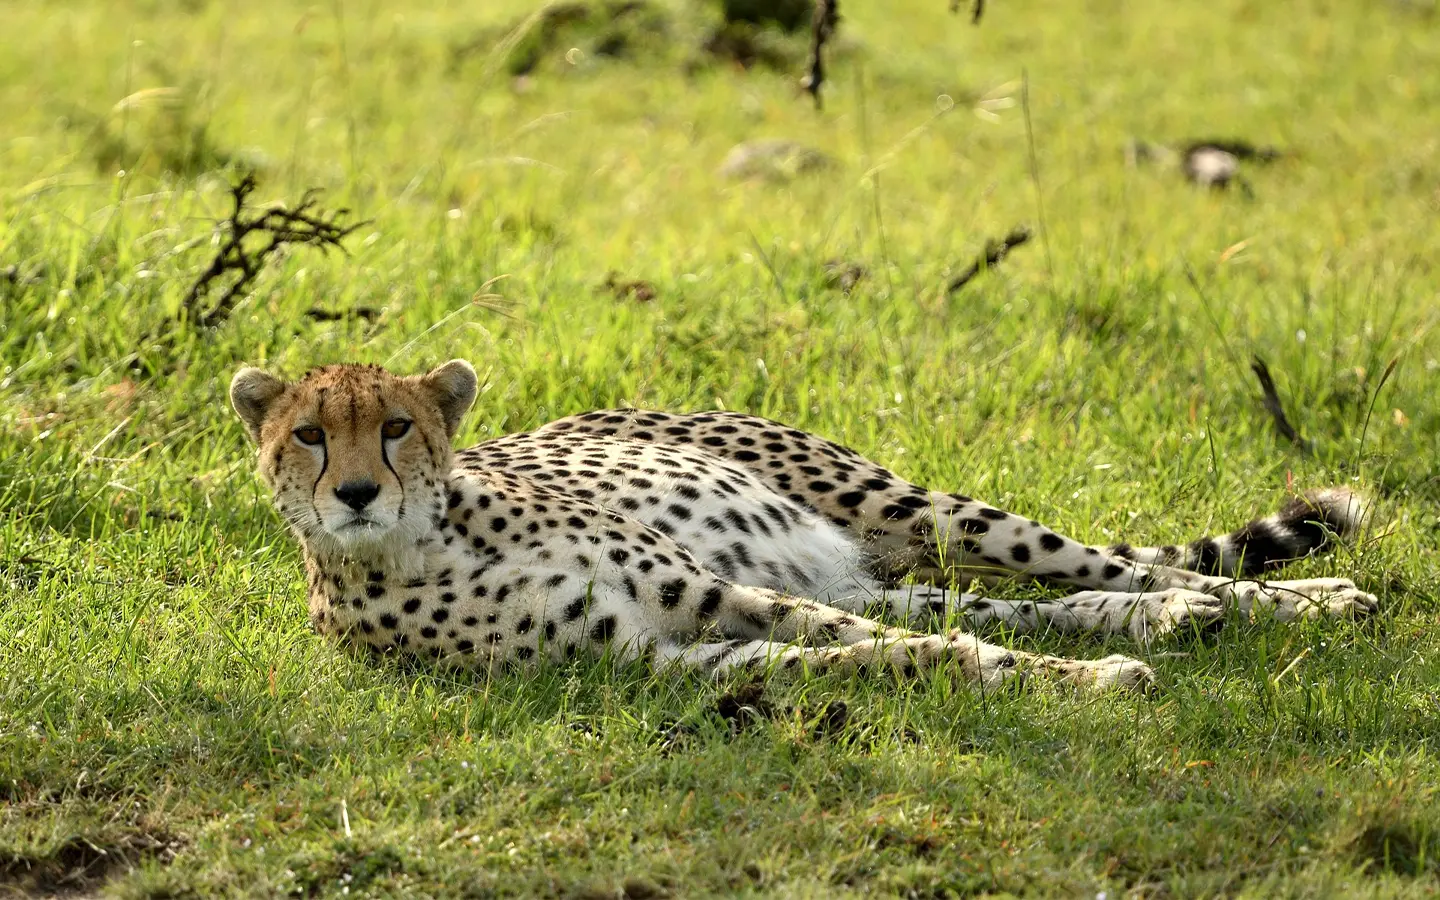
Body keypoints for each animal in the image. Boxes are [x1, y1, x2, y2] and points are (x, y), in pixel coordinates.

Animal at [230, 359, 1377, 694]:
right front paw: (1036, 676)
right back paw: (1172, 626)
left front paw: (1070, 680)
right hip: (862, 568)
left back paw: (1308, 599)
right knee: (1026, 603)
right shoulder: (646, 656)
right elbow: (877, 653)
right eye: (308, 437)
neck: (431, 538)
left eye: (394, 428)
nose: (357, 495)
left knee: (1126, 566)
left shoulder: (703, 588)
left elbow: (870, 643)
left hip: (910, 507)